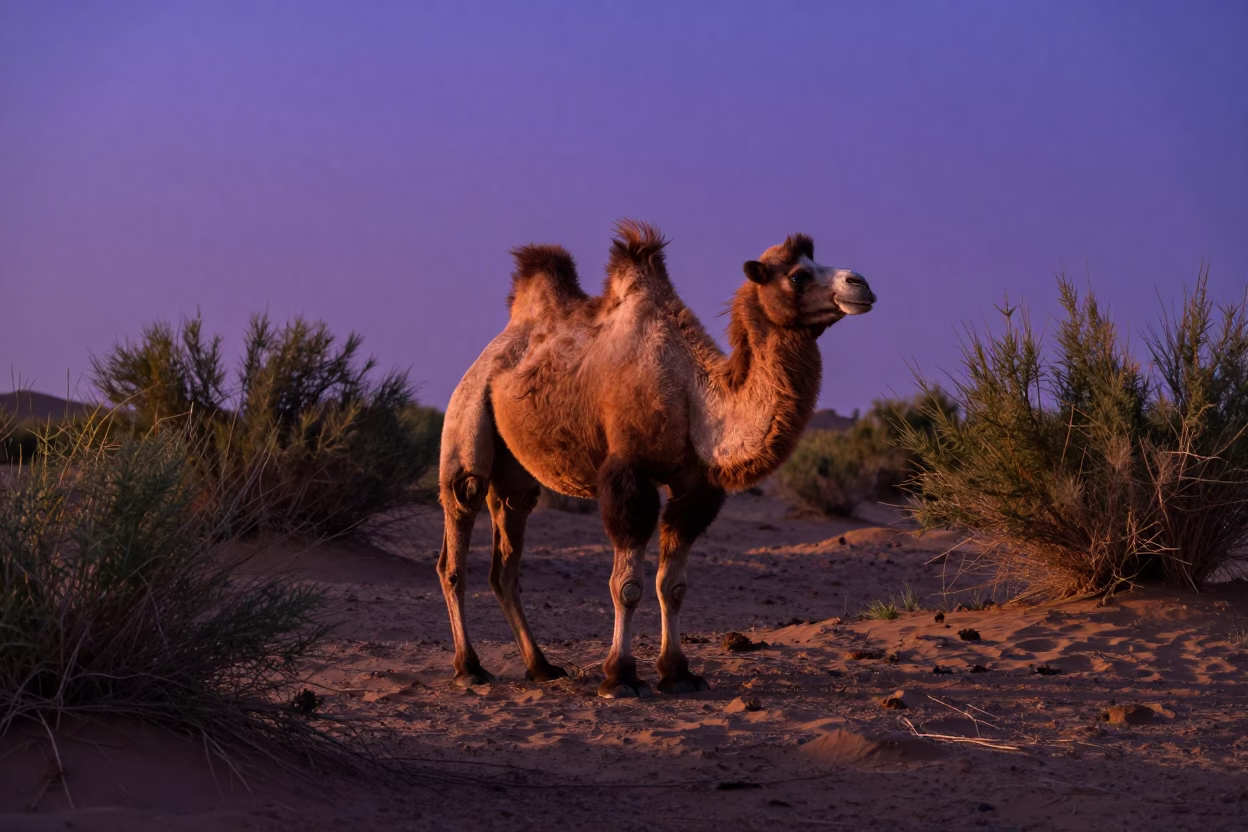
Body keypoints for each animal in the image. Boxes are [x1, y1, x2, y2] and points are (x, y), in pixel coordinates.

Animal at [437, 221, 876, 698]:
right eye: (798, 275)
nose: (862, 284)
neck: (694, 397)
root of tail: (491, 353)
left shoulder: (696, 487)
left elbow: (674, 585)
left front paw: (678, 673)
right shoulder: (629, 473)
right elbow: (627, 586)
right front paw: (620, 676)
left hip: (516, 476)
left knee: (506, 563)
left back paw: (541, 667)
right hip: (466, 421)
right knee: (457, 539)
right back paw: (468, 667)